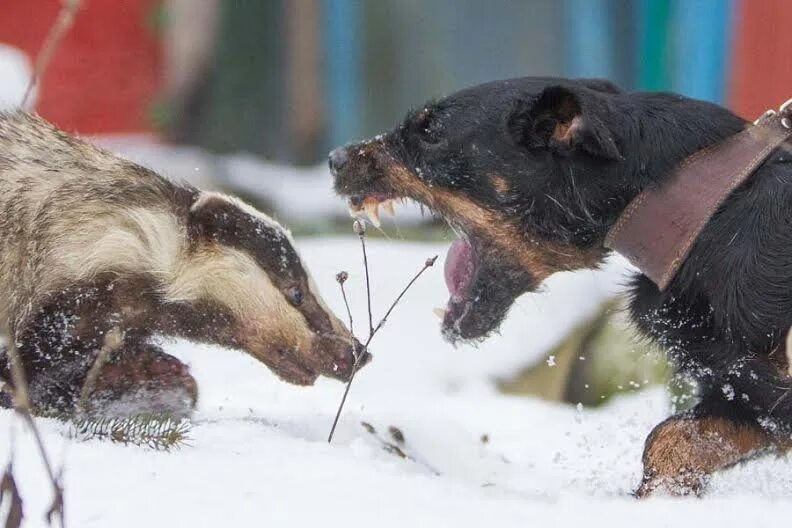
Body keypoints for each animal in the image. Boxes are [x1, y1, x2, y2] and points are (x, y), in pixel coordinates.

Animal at [332, 76, 792, 498]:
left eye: (430, 131)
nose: (335, 158)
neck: (710, 211)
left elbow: (669, 439)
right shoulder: (745, 394)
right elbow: (672, 439)